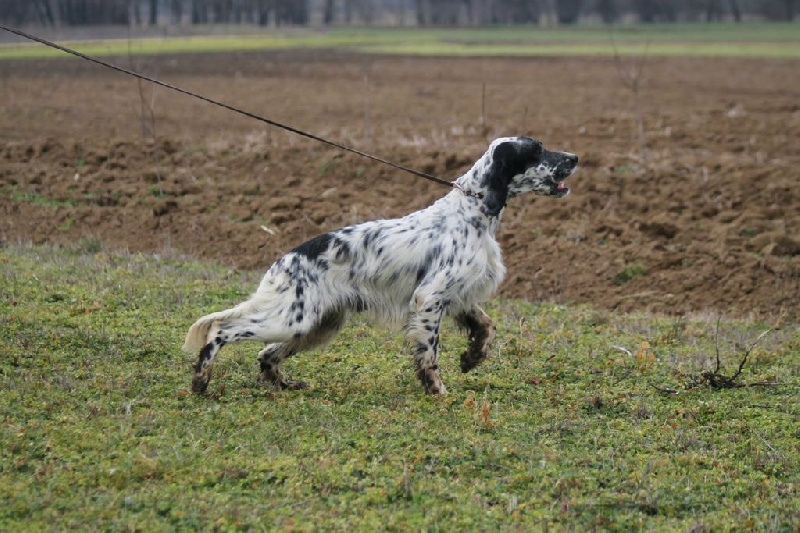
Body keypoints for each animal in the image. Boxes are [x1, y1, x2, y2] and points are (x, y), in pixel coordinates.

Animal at [184, 136, 577, 395]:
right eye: (537, 150)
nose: (574, 157)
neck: (473, 210)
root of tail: (285, 260)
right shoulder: (430, 297)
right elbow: (429, 354)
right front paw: (438, 390)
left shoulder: (459, 295)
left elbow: (487, 327)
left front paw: (472, 357)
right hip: (292, 318)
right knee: (220, 331)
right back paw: (201, 381)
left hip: (315, 324)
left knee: (266, 354)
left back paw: (285, 384)